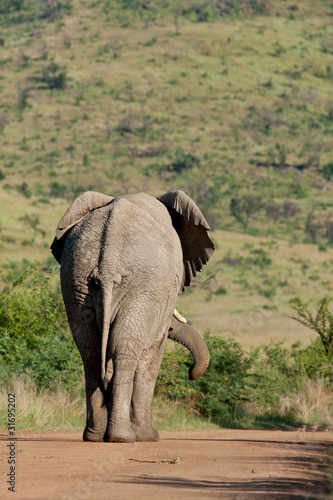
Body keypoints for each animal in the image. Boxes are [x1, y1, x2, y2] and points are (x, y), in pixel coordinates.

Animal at [50, 190, 214, 442]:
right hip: (142, 287)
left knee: (91, 351)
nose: (190, 373)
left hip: (75, 281)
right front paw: (149, 436)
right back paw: (123, 437)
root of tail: (107, 265)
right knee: (125, 349)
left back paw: (95, 436)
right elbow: (151, 358)